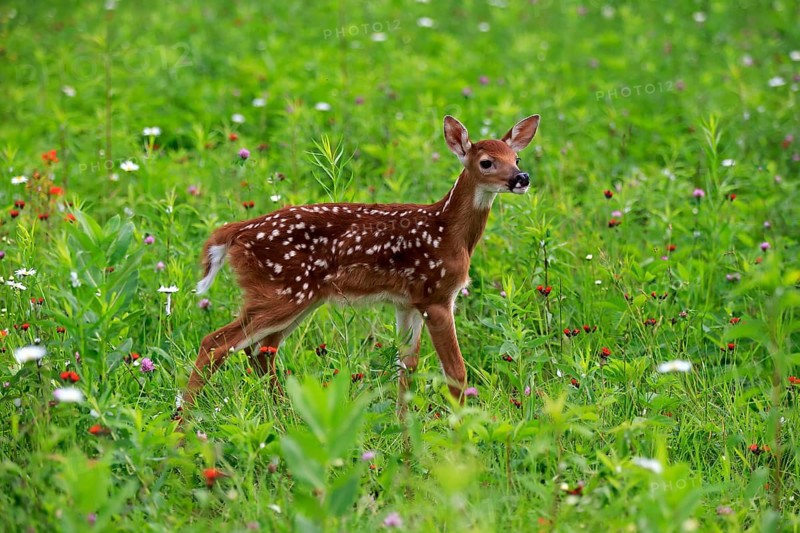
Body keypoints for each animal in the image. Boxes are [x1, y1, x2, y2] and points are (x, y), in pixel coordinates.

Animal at [179, 114, 540, 414]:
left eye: (516, 158)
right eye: (486, 162)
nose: (522, 178)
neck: (449, 232)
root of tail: (236, 232)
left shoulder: (408, 302)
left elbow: (406, 369)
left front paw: (405, 431)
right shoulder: (437, 294)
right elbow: (456, 372)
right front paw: (463, 430)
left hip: (297, 297)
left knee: (260, 351)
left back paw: (286, 415)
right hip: (282, 291)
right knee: (216, 343)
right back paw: (184, 424)